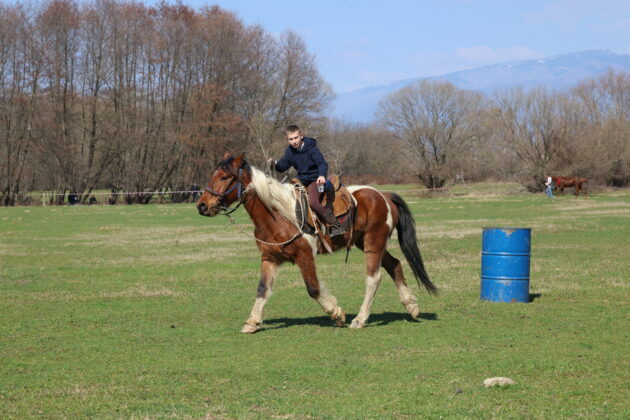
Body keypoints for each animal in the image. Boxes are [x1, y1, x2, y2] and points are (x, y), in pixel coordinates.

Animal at [196, 153, 437, 333]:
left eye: (224, 177)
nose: (202, 205)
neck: (279, 214)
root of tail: (384, 195)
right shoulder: (270, 258)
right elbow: (262, 289)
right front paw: (252, 322)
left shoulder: (304, 256)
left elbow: (313, 288)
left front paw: (337, 313)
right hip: (367, 243)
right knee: (394, 264)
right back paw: (412, 307)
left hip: (373, 243)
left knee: (374, 277)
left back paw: (360, 319)